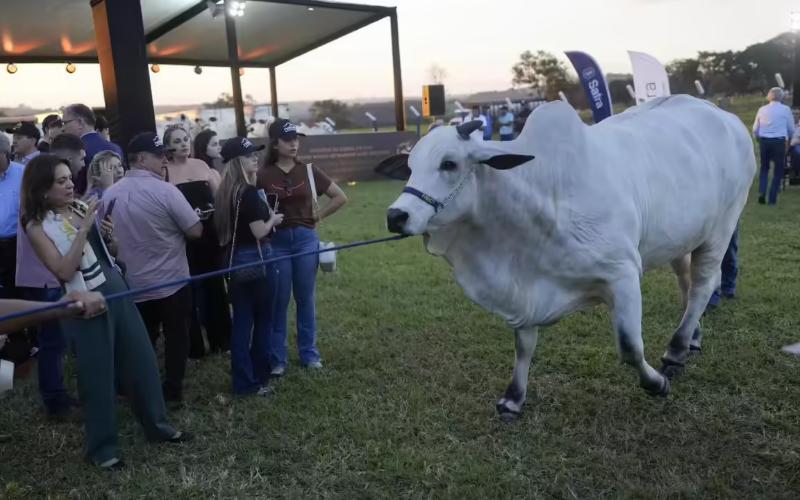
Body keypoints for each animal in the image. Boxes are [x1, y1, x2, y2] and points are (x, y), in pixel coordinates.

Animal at [386, 95, 755, 420]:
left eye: (449, 163)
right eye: (410, 166)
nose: (396, 216)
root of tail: (726, 117)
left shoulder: (622, 273)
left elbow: (630, 346)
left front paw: (655, 383)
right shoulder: (526, 287)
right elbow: (524, 345)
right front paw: (513, 399)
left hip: (722, 226)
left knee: (704, 284)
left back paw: (676, 351)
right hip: (682, 235)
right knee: (686, 281)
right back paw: (692, 338)